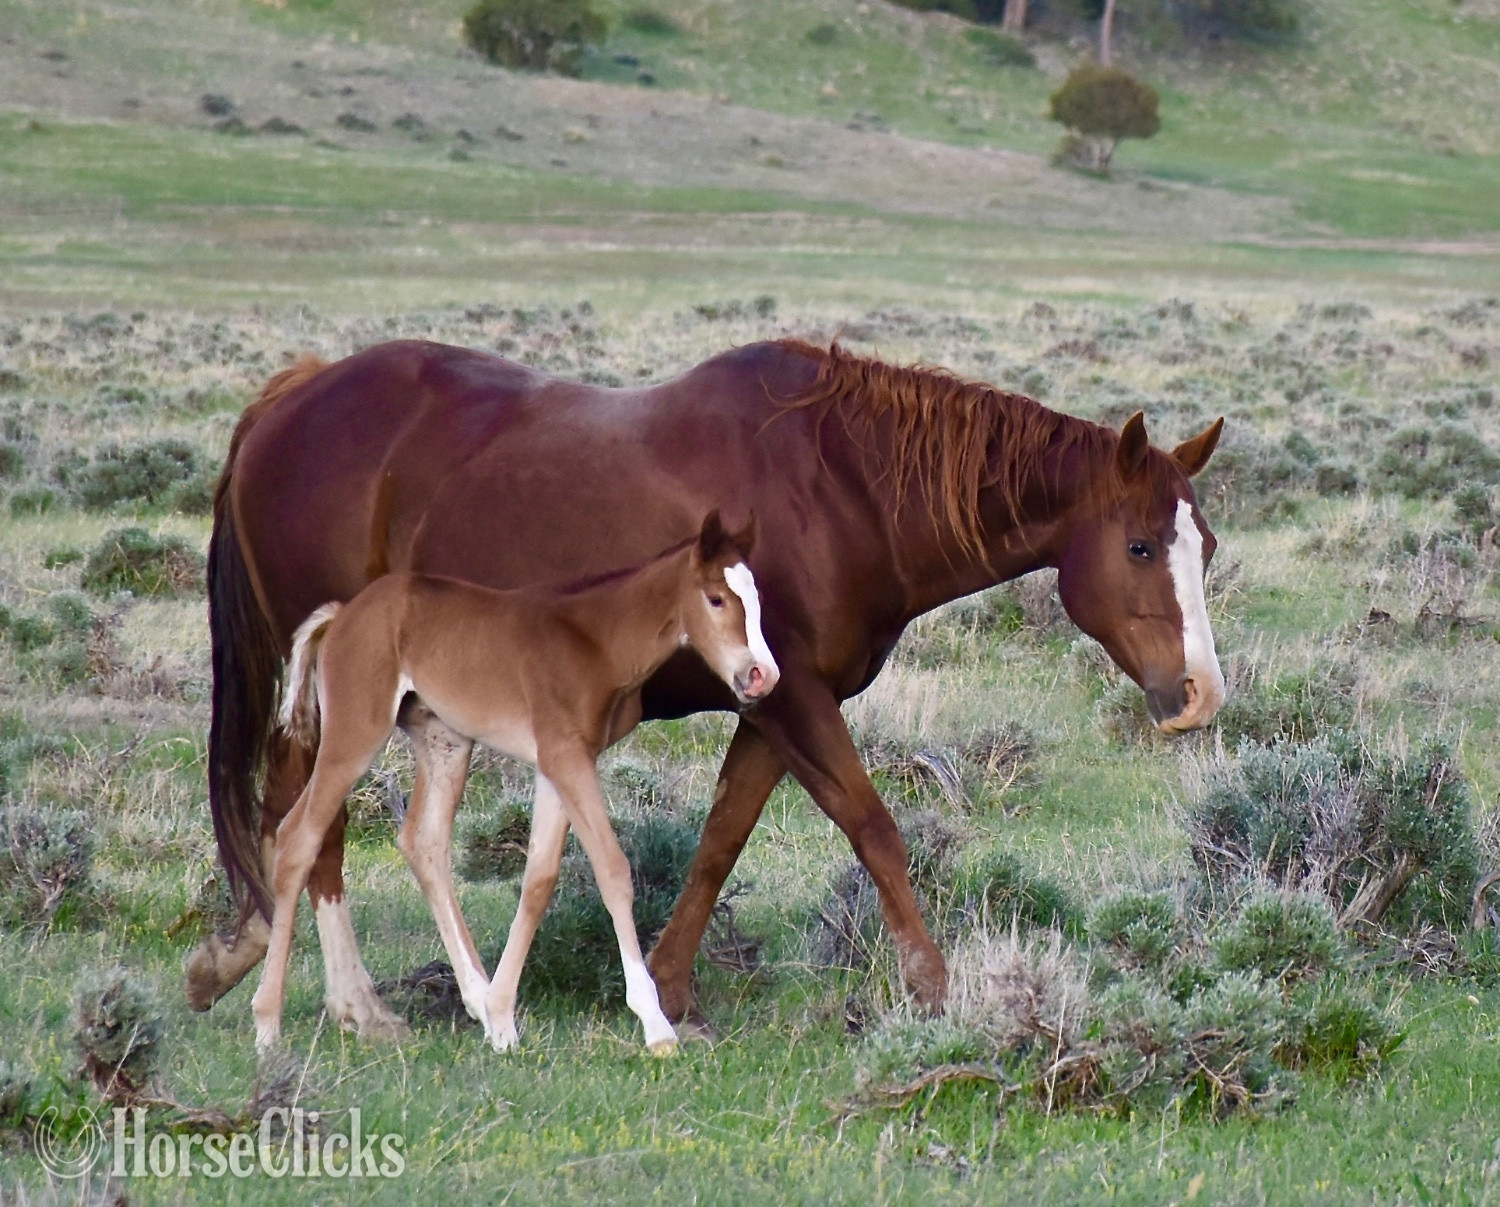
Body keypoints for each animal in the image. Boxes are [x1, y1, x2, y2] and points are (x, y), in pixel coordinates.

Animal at [251, 511, 775, 1054]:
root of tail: (341, 614)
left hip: (445, 742)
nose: (762, 675)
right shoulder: (567, 758)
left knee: (423, 842)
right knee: (298, 836)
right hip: (356, 732)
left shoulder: (558, 763)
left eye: (757, 597)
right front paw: (654, 1024)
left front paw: (502, 1019)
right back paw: (267, 1024)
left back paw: (478, 998)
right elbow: (613, 870)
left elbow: (539, 878)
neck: (594, 640)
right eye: (716, 598)